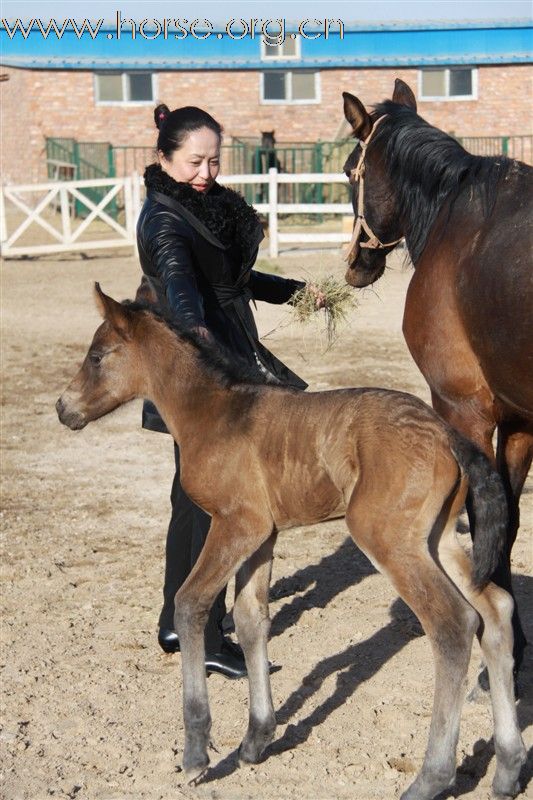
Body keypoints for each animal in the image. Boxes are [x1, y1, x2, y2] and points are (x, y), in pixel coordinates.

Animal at [55, 288, 524, 800]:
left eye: (97, 356)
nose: (62, 408)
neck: (212, 414)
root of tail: (448, 435)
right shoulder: (264, 534)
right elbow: (250, 619)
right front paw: (256, 739)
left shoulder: (236, 523)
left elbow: (191, 603)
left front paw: (197, 753)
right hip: (436, 538)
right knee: (495, 609)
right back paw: (508, 767)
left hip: (387, 538)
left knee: (454, 624)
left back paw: (432, 776)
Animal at [340, 78, 532, 684]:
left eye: (350, 170)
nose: (355, 264)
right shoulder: (519, 420)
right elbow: (507, 521)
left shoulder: (462, 409)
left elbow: (486, 519)